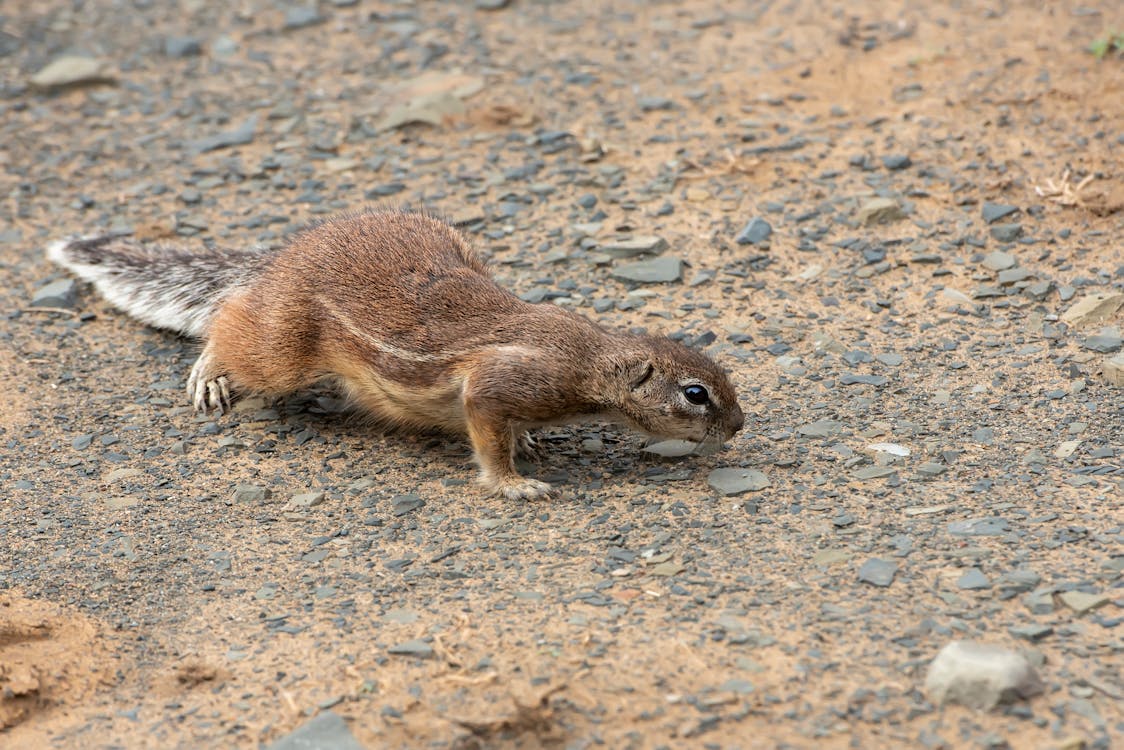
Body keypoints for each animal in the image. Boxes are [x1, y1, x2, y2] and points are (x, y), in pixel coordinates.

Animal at [48, 210, 741, 499]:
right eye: (695, 394)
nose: (737, 426)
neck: (593, 357)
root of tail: (283, 260)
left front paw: (528, 443)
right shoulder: (506, 381)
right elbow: (486, 431)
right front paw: (515, 484)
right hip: (284, 346)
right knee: (233, 318)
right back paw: (210, 372)